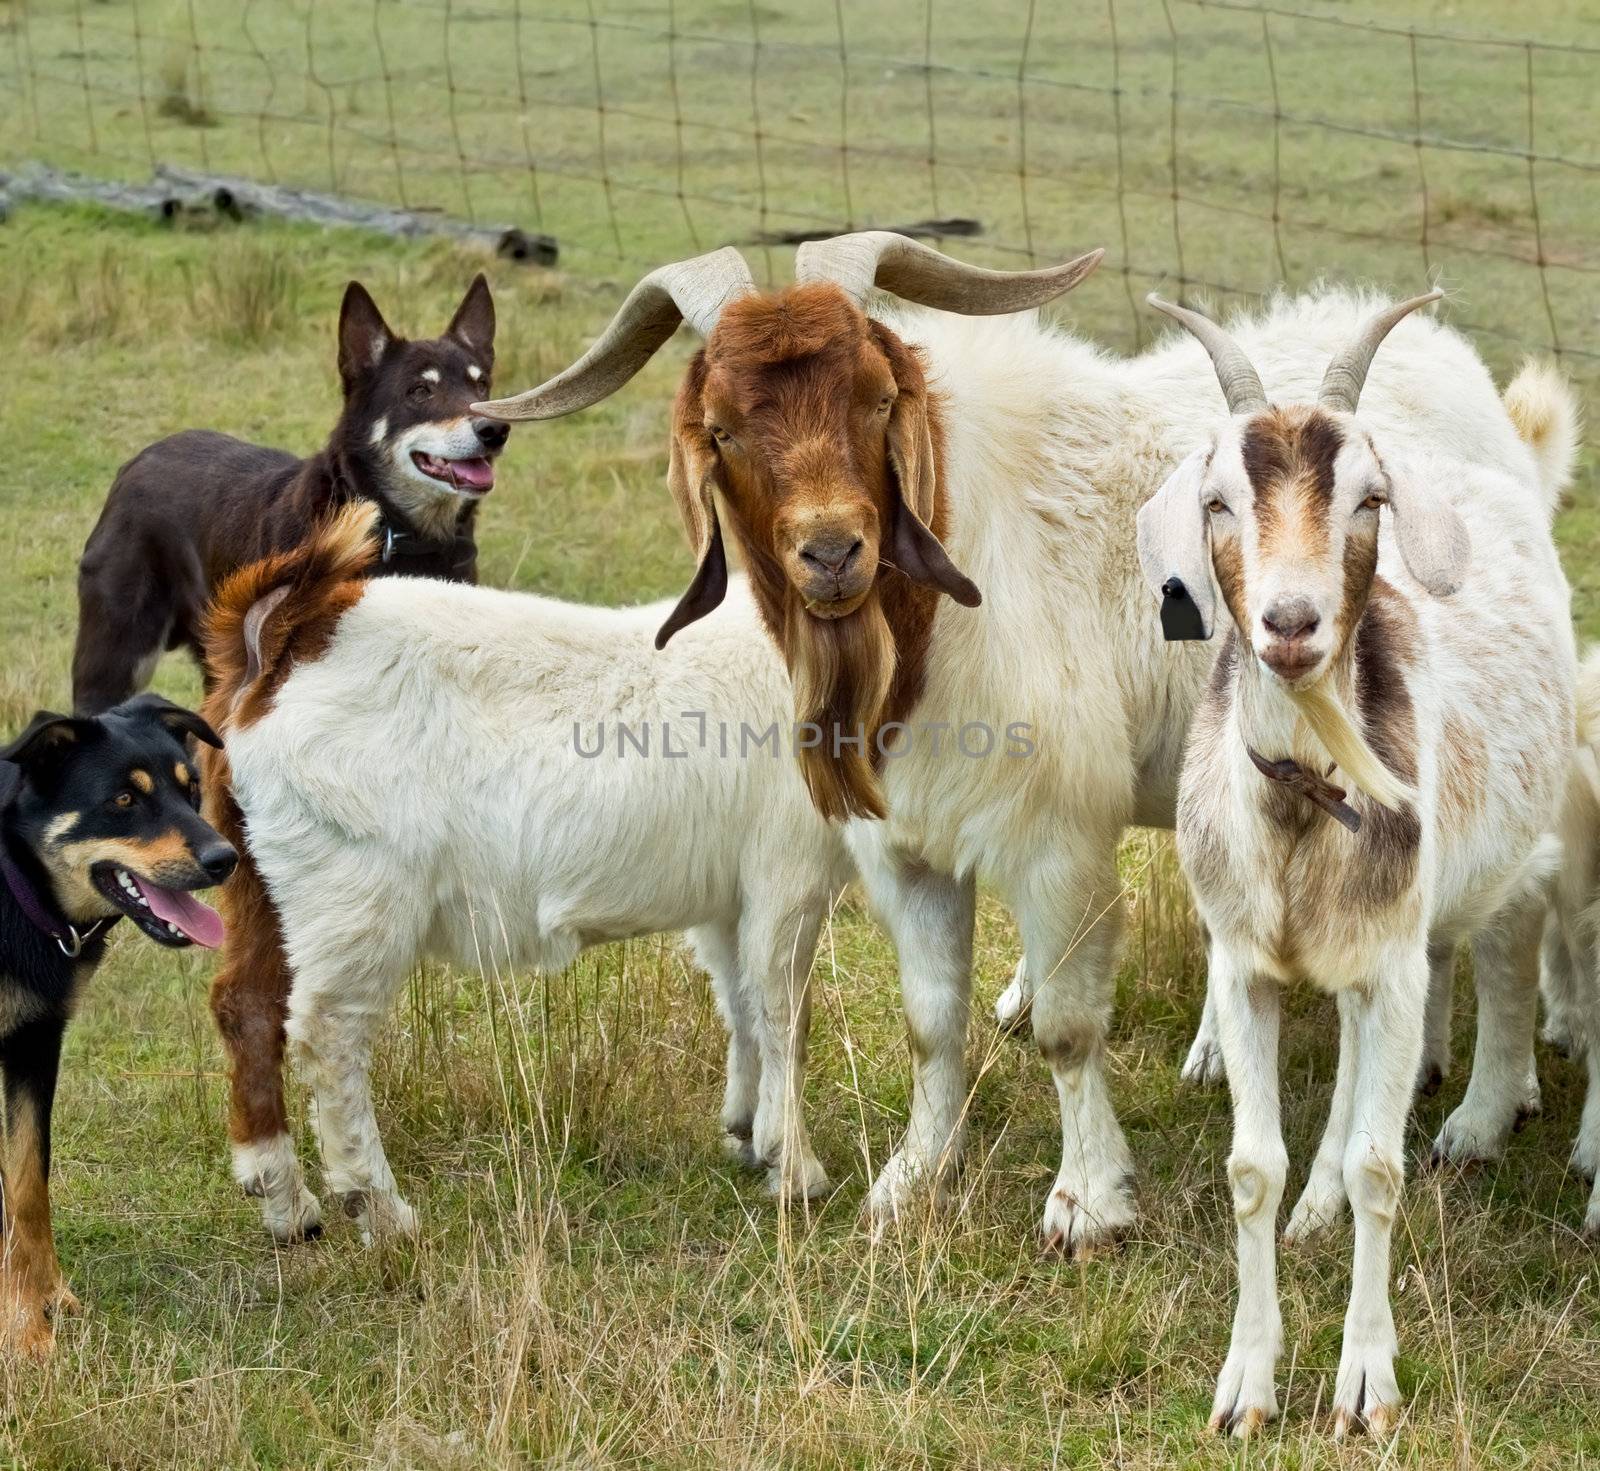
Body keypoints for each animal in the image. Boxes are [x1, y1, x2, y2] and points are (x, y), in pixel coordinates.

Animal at [0, 697, 233, 1357]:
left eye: (191, 790)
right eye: (124, 799)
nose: (226, 859)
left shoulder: (34, 1045)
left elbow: (27, 1187)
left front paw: (39, 1307)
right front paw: (24, 1331)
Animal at [67, 278, 505, 717]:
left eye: (480, 384)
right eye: (420, 390)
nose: (495, 430)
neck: (396, 534)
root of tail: (135, 463)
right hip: (115, 658)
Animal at [206, 505, 857, 1242]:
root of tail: (285, 639)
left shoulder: (731, 895)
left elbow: (742, 1000)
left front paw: (747, 1135)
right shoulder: (789, 872)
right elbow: (785, 1012)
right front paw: (796, 1168)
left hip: (261, 876)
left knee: (246, 1005)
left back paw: (285, 1202)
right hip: (355, 887)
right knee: (328, 1029)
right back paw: (379, 1207)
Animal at [473, 241, 1574, 1254]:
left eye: (877, 400)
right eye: (724, 428)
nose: (831, 553)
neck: (935, 607)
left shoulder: (1058, 843)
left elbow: (1069, 1030)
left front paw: (1087, 1200)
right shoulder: (903, 846)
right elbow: (928, 1021)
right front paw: (913, 1176)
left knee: (1505, 913)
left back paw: (1484, 1099)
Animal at [1139, 296, 1574, 1440]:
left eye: (1366, 499)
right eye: (1217, 499)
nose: (1290, 623)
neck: (1302, 806)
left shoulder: (1387, 960)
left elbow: (1384, 1165)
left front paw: (1366, 1383)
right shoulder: (1244, 963)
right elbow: (1251, 1165)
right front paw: (1246, 1384)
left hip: (1503, 863)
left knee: (1500, 950)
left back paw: (1475, 1108)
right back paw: (1320, 1194)